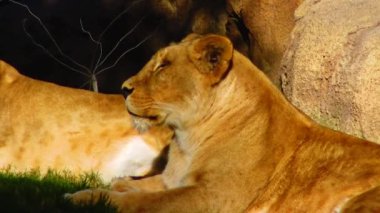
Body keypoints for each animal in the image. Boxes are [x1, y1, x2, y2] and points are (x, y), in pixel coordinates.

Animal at [67, 34, 380, 212]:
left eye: (163, 67)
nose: (123, 89)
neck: (188, 139)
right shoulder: (172, 180)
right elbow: (129, 184)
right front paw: (109, 187)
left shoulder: (212, 198)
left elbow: (142, 203)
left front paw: (80, 198)